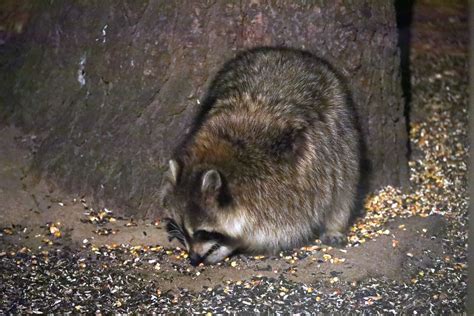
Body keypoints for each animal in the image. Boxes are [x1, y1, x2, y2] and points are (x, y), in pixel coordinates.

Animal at [159, 45, 360, 266]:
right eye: (182, 228)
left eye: (203, 232)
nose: (193, 259)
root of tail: (286, 51)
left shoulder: (288, 192)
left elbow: (283, 229)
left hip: (343, 136)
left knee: (344, 188)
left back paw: (335, 224)